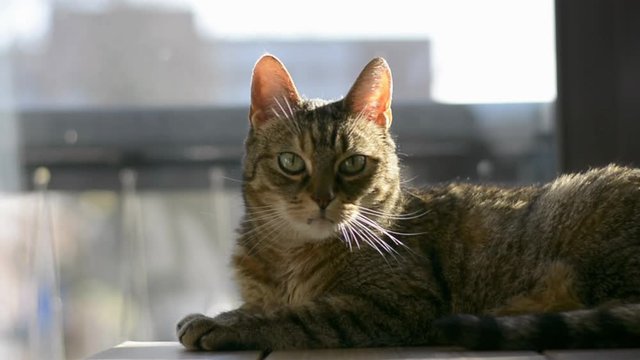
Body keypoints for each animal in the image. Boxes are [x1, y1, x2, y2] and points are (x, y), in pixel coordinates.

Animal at [175, 54, 640, 352]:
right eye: (291, 162)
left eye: (353, 162)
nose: (323, 197)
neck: (289, 254)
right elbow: (265, 304)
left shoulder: (398, 302)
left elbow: (295, 315)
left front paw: (222, 323)